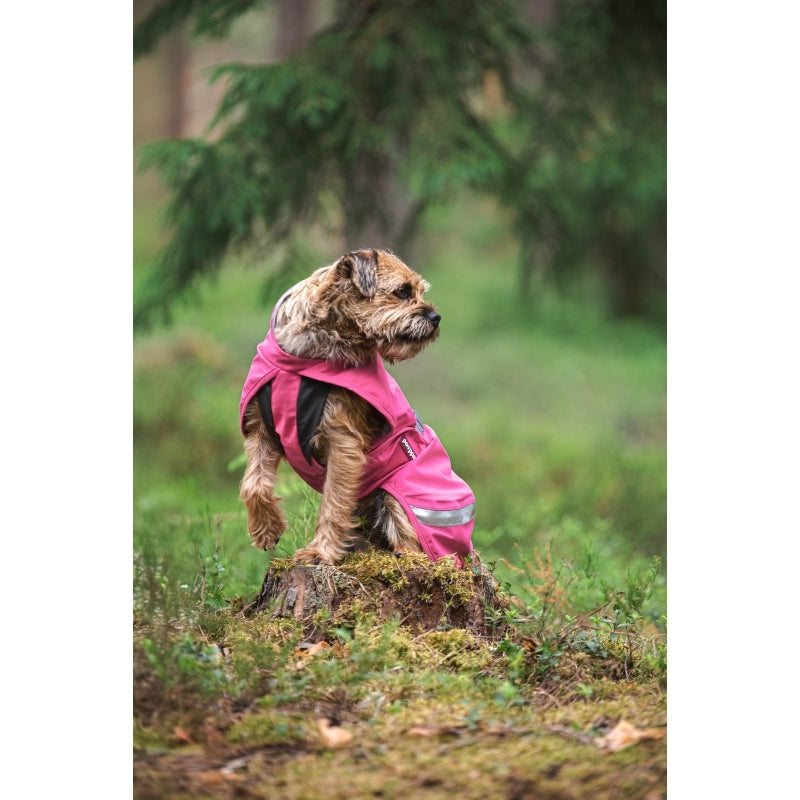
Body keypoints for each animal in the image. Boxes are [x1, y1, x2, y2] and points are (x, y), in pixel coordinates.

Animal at [238, 249, 475, 566]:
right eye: (402, 292)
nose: (436, 317)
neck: (306, 357)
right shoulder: (261, 431)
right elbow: (253, 484)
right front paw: (267, 529)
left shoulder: (343, 444)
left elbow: (333, 503)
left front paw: (319, 552)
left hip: (404, 492)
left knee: (417, 542)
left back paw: (403, 554)